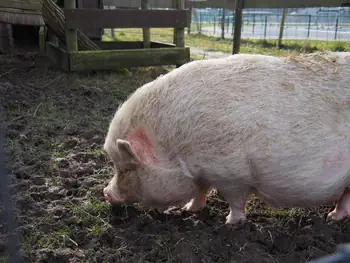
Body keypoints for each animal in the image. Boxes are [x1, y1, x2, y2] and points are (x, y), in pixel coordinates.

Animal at [102, 51, 350, 225]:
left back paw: (332, 218)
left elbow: (235, 199)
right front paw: (189, 210)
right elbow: (200, 190)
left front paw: (230, 223)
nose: (105, 193)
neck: (176, 147)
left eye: (126, 169)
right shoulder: (203, 173)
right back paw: (333, 217)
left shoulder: (232, 174)